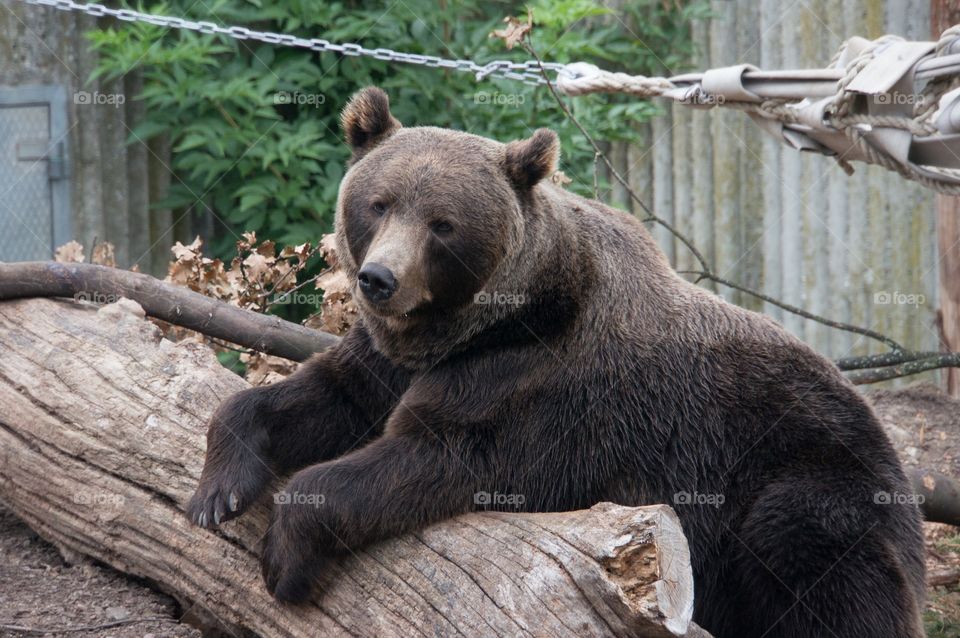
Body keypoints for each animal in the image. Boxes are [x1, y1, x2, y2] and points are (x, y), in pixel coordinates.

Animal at [186, 87, 926, 637]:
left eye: (442, 223)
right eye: (379, 202)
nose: (379, 280)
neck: (477, 327)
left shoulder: (537, 386)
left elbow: (433, 453)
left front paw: (287, 553)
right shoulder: (389, 359)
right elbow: (319, 396)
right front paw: (217, 491)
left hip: (809, 472)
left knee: (813, 559)